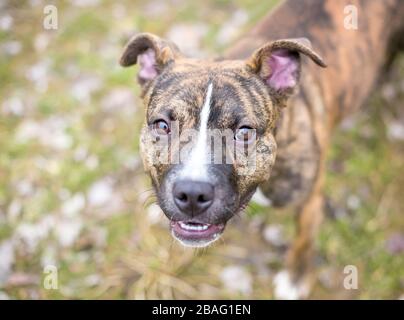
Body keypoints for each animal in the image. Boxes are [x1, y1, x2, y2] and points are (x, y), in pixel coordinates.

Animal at [120, 0, 404, 300]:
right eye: (162, 126)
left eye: (245, 132)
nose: (192, 193)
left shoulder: (309, 200)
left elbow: (303, 240)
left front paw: (295, 278)